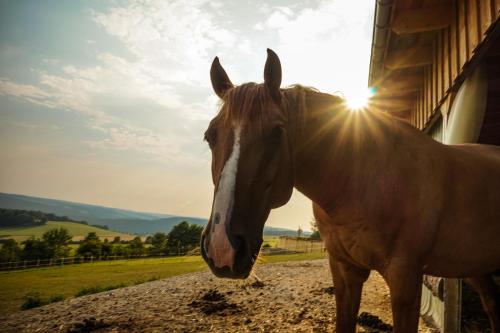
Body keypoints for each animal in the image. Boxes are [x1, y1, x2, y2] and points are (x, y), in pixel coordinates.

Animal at [200, 49, 500, 332]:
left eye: (277, 132)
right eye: (209, 136)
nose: (222, 247)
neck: (361, 181)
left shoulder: (405, 281)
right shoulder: (345, 271)